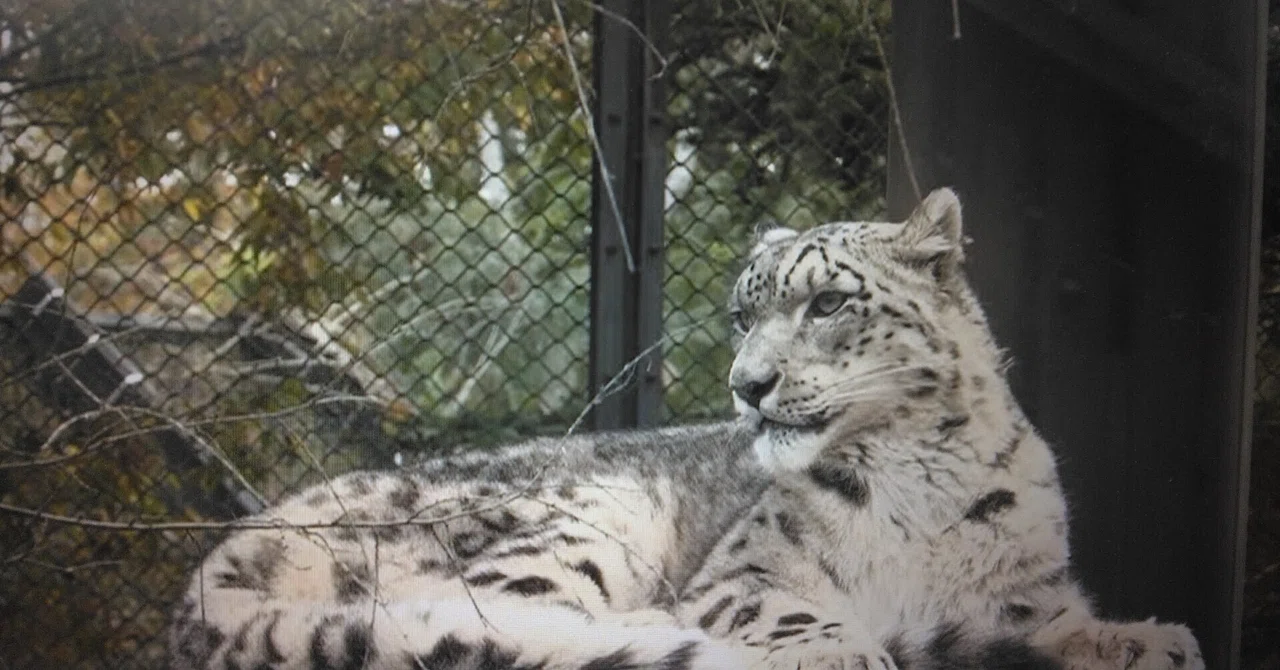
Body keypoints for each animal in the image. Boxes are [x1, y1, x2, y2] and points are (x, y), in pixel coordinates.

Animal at [169, 188, 1203, 670]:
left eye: (829, 302)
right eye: (743, 316)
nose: (747, 385)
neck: (920, 478)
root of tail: (229, 552)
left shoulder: (1021, 595)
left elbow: (1059, 626)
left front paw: (1149, 639)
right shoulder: (744, 574)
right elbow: (792, 610)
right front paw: (850, 647)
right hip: (580, 517)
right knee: (496, 614)